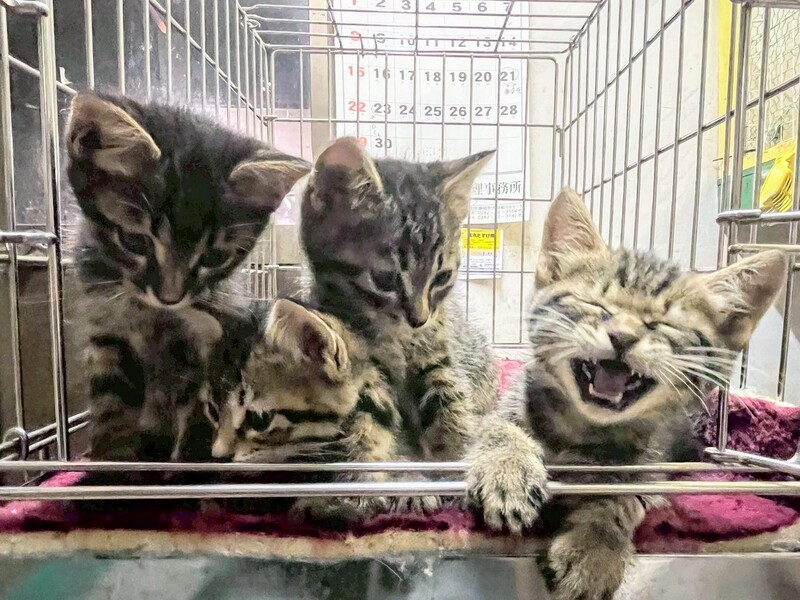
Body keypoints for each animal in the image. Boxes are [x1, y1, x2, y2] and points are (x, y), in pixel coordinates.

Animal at [65, 91, 310, 484]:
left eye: (214, 256)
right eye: (134, 241)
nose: (171, 297)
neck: (153, 316)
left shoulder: (206, 338)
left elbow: (197, 404)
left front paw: (191, 468)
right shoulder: (108, 329)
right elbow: (110, 403)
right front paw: (109, 469)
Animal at [300, 137, 499, 463]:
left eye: (442, 277)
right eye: (384, 280)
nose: (419, 319)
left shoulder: (436, 344)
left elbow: (446, 386)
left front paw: (452, 449)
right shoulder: (357, 359)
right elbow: (365, 413)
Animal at [465, 188, 788, 600]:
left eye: (662, 325)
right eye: (596, 306)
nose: (623, 336)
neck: (583, 430)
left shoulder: (656, 467)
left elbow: (624, 495)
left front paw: (595, 548)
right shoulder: (508, 404)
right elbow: (496, 429)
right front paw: (507, 470)